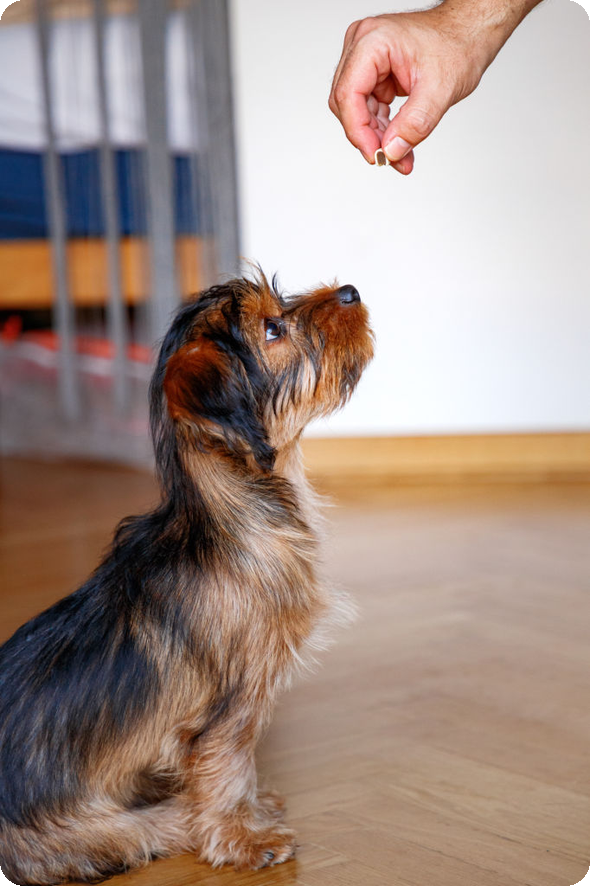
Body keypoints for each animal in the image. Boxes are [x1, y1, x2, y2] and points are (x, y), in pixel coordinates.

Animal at [0, 272, 373, 883]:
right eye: (273, 329)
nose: (350, 291)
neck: (232, 513)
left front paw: (248, 817)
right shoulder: (230, 706)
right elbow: (228, 769)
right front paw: (242, 838)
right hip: (78, 830)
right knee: (137, 832)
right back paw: (178, 817)